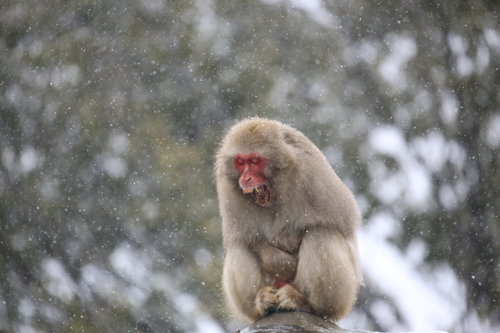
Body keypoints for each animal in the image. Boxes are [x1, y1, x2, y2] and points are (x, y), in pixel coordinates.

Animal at [213, 116, 362, 322]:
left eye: (254, 161)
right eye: (240, 162)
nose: (245, 178)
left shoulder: (311, 173)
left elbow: (342, 217)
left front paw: (286, 238)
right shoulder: (228, 191)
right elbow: (247, 238)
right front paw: (276, 258)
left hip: (341, 297)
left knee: (320, 233)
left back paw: (305, 303)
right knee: (239, 246)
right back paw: (262, 303)